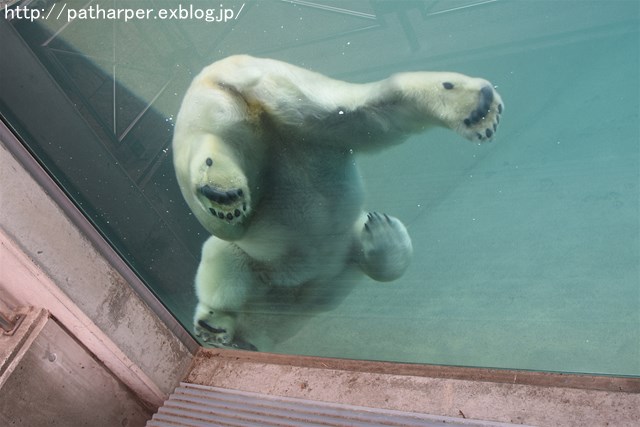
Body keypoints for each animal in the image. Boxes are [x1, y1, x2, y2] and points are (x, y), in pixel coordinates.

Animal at [172, 55, 502, 350]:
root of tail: (224, 68)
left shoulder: (339, 261)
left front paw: (383, 229)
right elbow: (227, 255)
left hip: (293, 106)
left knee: (373, 108)